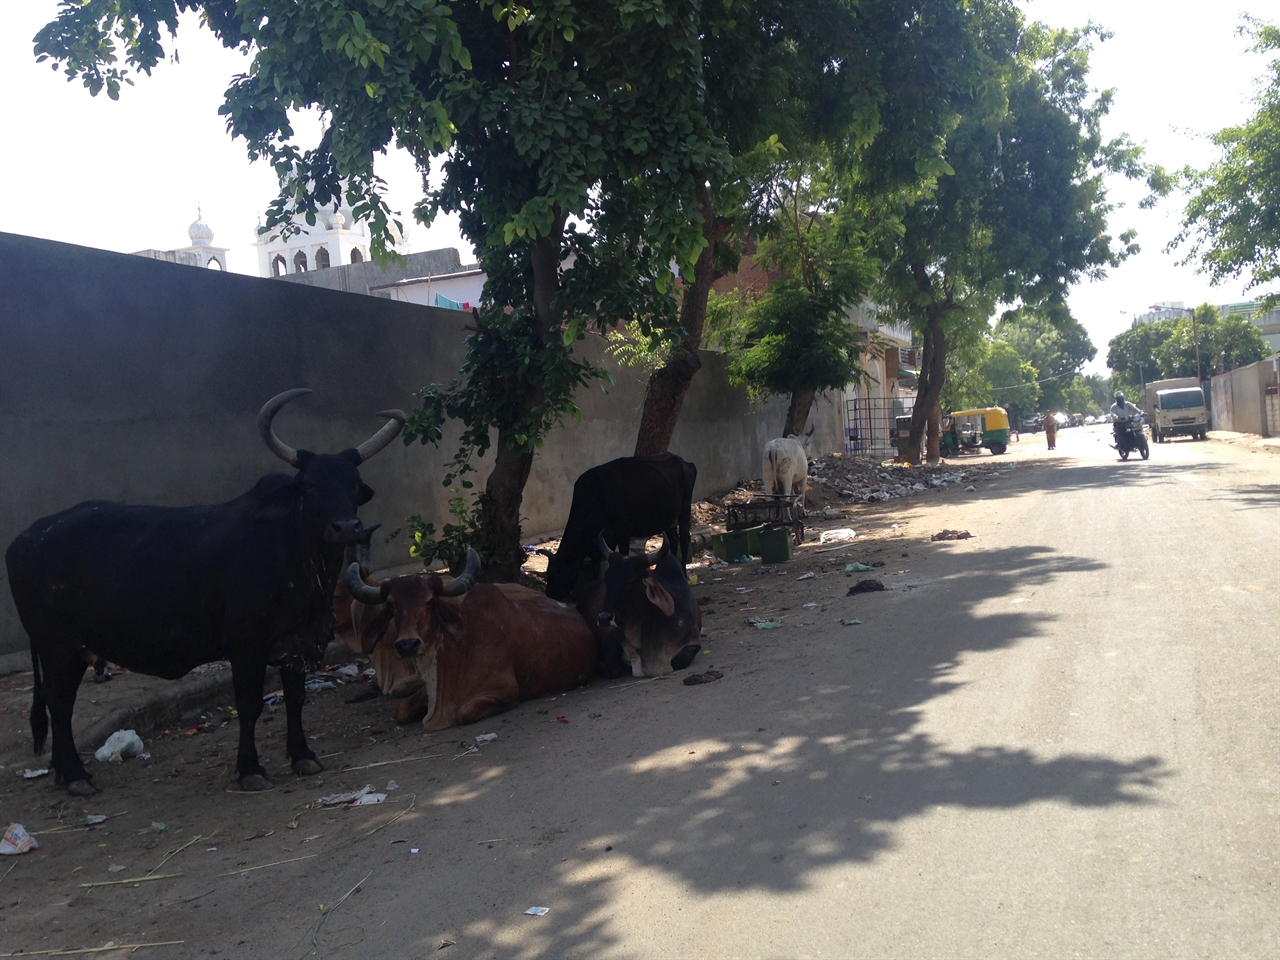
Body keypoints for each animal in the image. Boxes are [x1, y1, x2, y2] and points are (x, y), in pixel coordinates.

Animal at [3, 391, 404, 798]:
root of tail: (25, 538)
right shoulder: (246, 643)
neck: (294, 550)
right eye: (310, 485)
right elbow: (249, 705)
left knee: (57, 705)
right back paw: (75, 775)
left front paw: (303, 755)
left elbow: (296, 698)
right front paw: (250, 768)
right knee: (59, 704)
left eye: (354, 483)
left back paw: (62, 771)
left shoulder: (298, 642)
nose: (347, 528)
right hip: (57, 646)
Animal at [343, 547, 596, 727]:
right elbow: (401, 711)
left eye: (429, 601)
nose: (407, 644)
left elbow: (463, 714)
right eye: (391, 605)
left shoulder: (505, 693)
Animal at [545, 450, 696, 601]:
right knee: (674, 540)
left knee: (684, 540)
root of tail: (683, 461)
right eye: (548, 574)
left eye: (557, 575)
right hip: (667, 518)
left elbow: (622, 556)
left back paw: (684, 575)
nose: (549, 595)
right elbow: (596, 565)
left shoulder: (623, 532)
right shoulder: (601, 540)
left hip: (685, 508)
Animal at [578, 529, 701, 680]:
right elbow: (613, 668)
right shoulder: (613, 636)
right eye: (607, 580)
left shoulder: (694, 641)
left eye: (631, 581)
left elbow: (679, 660)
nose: (603, 618)